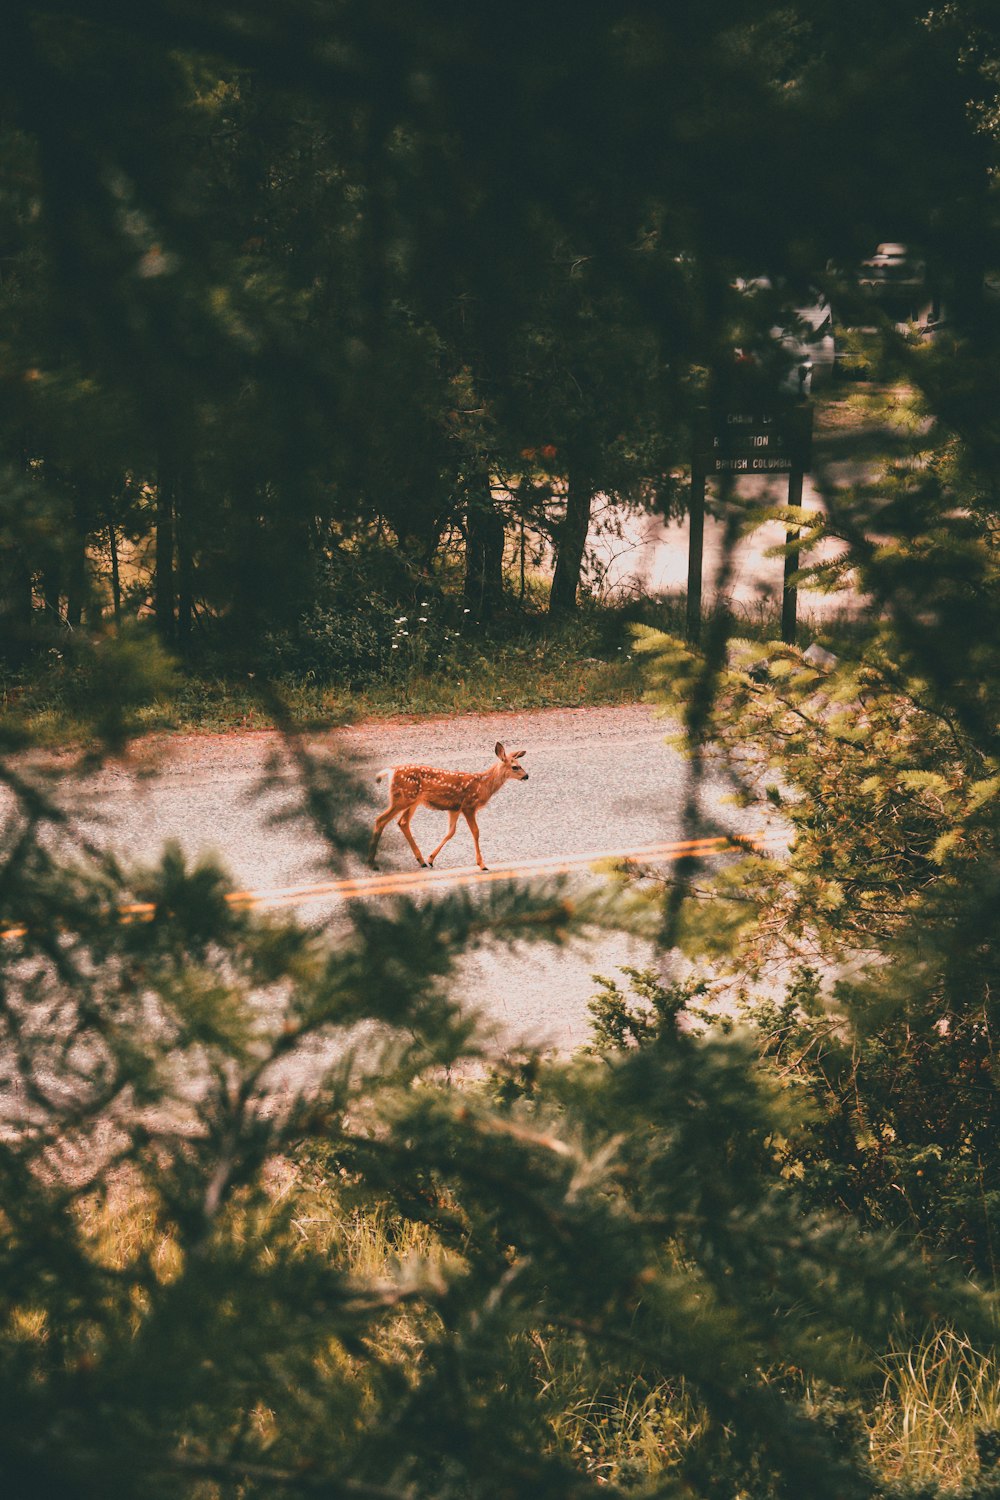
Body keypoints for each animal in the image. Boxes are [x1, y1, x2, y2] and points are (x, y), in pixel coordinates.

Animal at [371, 744, 530, 876]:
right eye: (515, 767)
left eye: (520, 764)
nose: (527, 776)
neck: (482, 786)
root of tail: (390, 771)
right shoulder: (468, 806)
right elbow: (476, 832)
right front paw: (482, 864)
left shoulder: (454, 809)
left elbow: (450, 832)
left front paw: (431, 859)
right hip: (403, 799)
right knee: (381, 819)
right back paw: (372, 862)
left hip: (412, 801)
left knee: (402, 822)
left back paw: (421, 860)